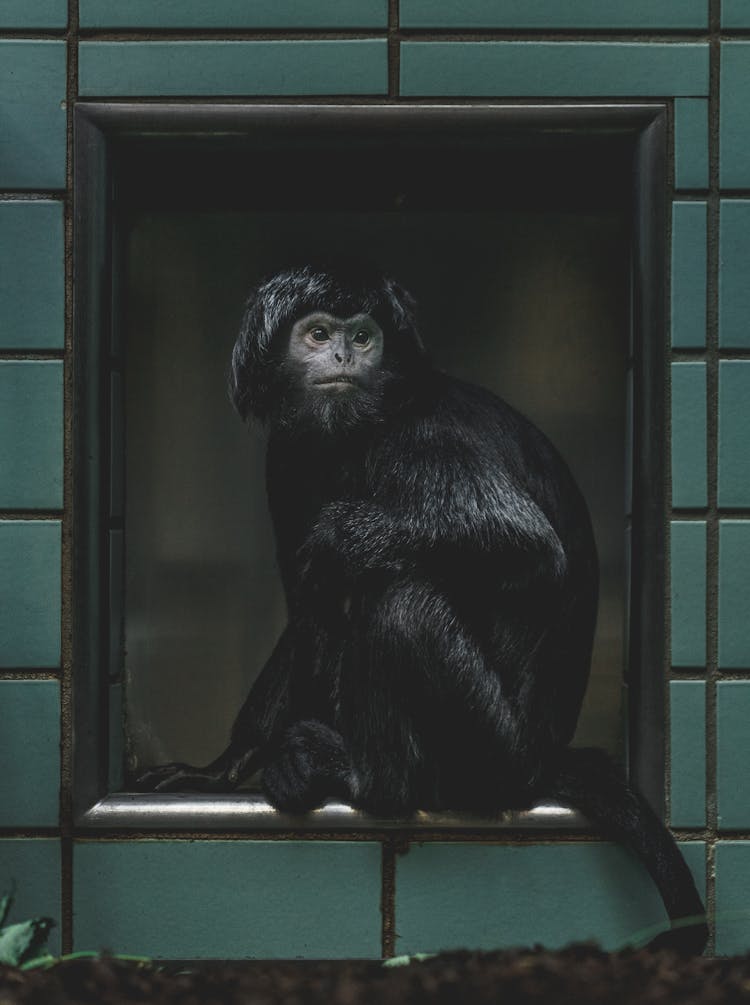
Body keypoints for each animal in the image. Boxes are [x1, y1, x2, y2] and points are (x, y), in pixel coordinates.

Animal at [135, 263, 707, 952]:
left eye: (362, 336)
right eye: (319, 333)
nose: (343, 355)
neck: (355, 434)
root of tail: (541, 760)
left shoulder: (420, 437)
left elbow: (525, 545)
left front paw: (343, 536)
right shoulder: (286, 456)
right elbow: (305, 611)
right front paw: (222, 768)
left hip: (492, 752)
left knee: (399, 600)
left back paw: (366, 779)